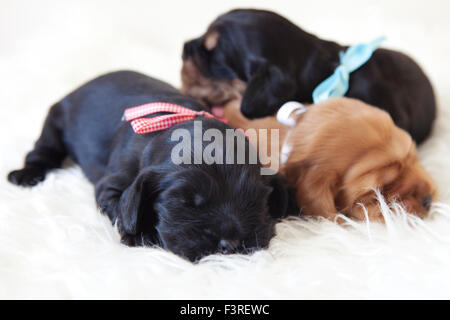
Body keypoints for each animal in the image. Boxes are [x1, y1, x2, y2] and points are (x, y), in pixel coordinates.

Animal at [8, 71, 298, 262]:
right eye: (183, 203)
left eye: (255, 200)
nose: (231, 244)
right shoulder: (111, 185)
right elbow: (122, 208)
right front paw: (141, 234)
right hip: (55, 120)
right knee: (43, 150)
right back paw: (26, 174)